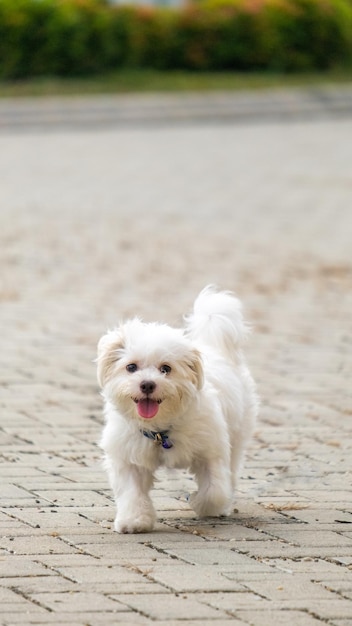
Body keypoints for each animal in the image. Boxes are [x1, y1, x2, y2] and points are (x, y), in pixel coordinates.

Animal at [97, 286, 258, 528]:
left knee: (230, 472)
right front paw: (134, 520)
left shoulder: (211, 451)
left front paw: (202, 504)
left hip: (238, 435)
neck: (159, 430)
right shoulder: (128, 458)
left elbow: (214, 490)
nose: (147, 384)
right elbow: (132, 492)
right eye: (131, 367)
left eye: (166, 368)